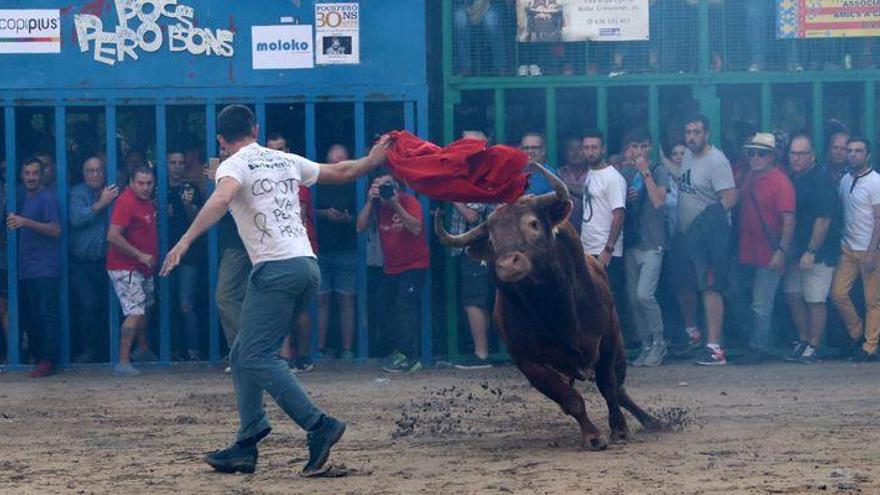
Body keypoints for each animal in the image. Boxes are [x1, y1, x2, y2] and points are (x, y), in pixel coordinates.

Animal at [436, 165, 656, 452]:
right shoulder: (528, 361)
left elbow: (609, 386)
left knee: (620, 388)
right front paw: (593, 436)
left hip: (619, 346)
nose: (508, 264)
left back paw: (653, 421)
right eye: (493, 240)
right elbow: (570, 399)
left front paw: (620, 429)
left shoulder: (608, 339)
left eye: (533, 223)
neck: (553, 306)